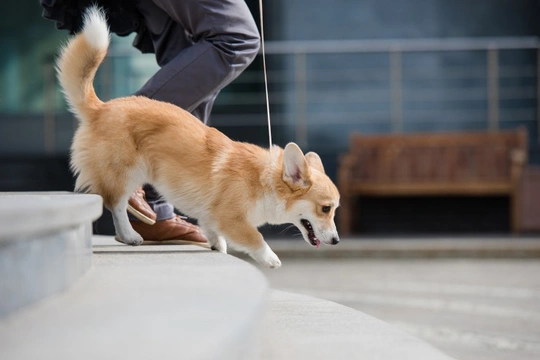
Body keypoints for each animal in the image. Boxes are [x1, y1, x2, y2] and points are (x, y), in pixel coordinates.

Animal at [57, 7, 340, 268]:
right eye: (326, 208)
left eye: (335, 209)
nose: (337, 241)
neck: (266, 180)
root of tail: (101, 108)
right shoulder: (231, 218)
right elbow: (255, 237)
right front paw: (270, 258)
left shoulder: (211, 218)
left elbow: (216, 235)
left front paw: (218, 248)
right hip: (127, 171)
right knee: (116, 204)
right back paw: (130, 234)